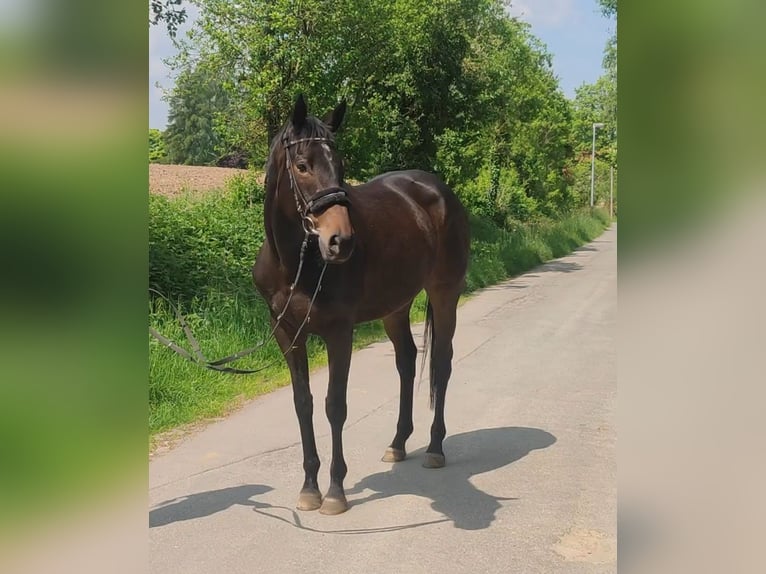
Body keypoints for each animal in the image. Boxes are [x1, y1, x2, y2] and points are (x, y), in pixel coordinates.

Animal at [254, 94, 468, 516]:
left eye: (340, 165)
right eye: (302, 166)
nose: (341, 241)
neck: (296, 263)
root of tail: (439, 191)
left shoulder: (339, 332)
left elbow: (335, 405)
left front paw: (335, 491)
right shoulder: (286, 332)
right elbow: (303, 403)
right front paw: (309, 487)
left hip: (444, 293)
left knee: (441, 362)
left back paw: (435, 448)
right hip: (395, 307)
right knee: (407, 361)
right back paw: (398, 443)